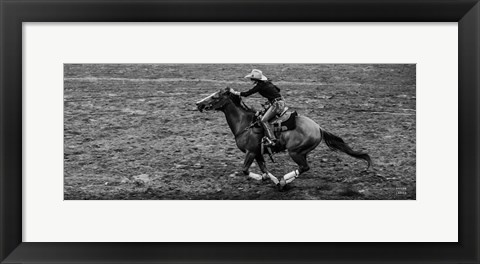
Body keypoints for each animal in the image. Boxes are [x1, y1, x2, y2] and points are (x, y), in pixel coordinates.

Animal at [195, 88, 372, 190]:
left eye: (215, 96)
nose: (198, 104)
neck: (245, 123)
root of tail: (318, 128)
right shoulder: (258, 153)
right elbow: (264, 170)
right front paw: (271, 179)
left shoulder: (250, 152)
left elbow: (245, 170)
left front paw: (272, 180)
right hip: (301, 152)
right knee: (303, 167)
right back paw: (282, 182)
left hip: (295, 152)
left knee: (304, 167)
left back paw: (284, 181)